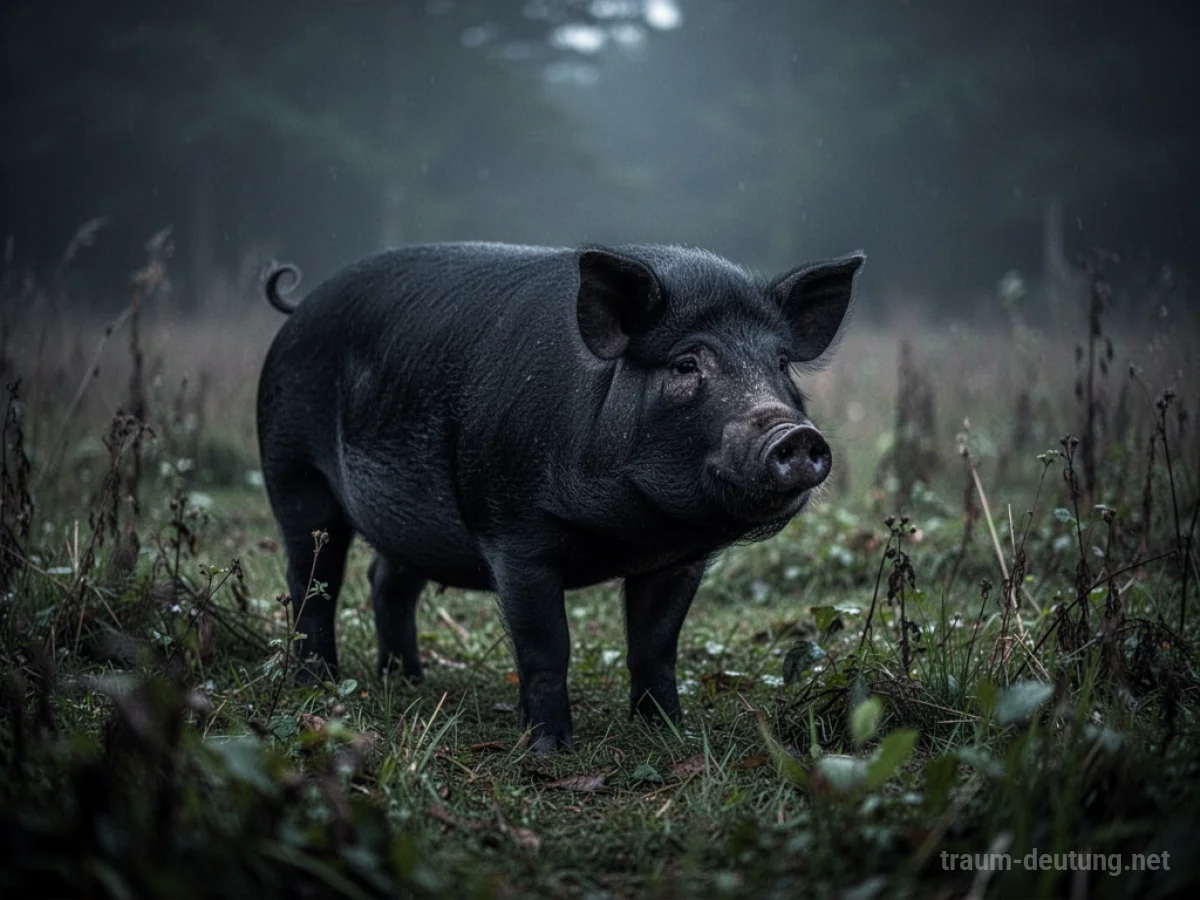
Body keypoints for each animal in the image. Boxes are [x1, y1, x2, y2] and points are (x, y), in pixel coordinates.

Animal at [257, 242, 864, 751]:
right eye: (686, 364)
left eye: (780, 364)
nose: (795, 434)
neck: (632, 530)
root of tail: (299, 309)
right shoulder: (514, 537)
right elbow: (547, 647)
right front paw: (550, 749)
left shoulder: (679, 561)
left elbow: (656, 647)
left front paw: (671, 735)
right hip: (291, 469)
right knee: (313, 580)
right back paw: (320, 686)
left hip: (411, 524)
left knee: (387, 580)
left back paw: (409, 680)